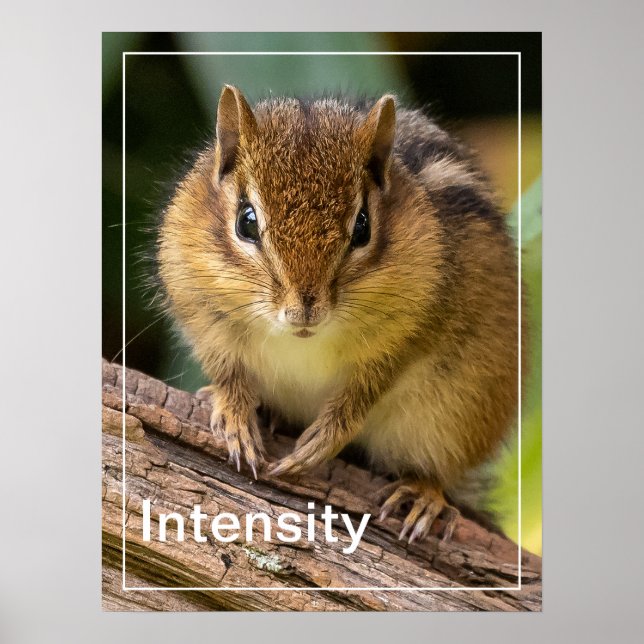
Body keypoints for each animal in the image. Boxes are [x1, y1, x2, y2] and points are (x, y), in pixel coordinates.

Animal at [157, 85, 525, 543]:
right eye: (246, 221)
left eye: (363, 226)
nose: (304, 309)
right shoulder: (200, 307)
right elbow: (226, 370)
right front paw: (235, 414)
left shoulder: (416, 329)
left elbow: (368, 388)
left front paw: (324, 440)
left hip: (457, 417)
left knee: (439, 472)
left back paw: (424, 495)